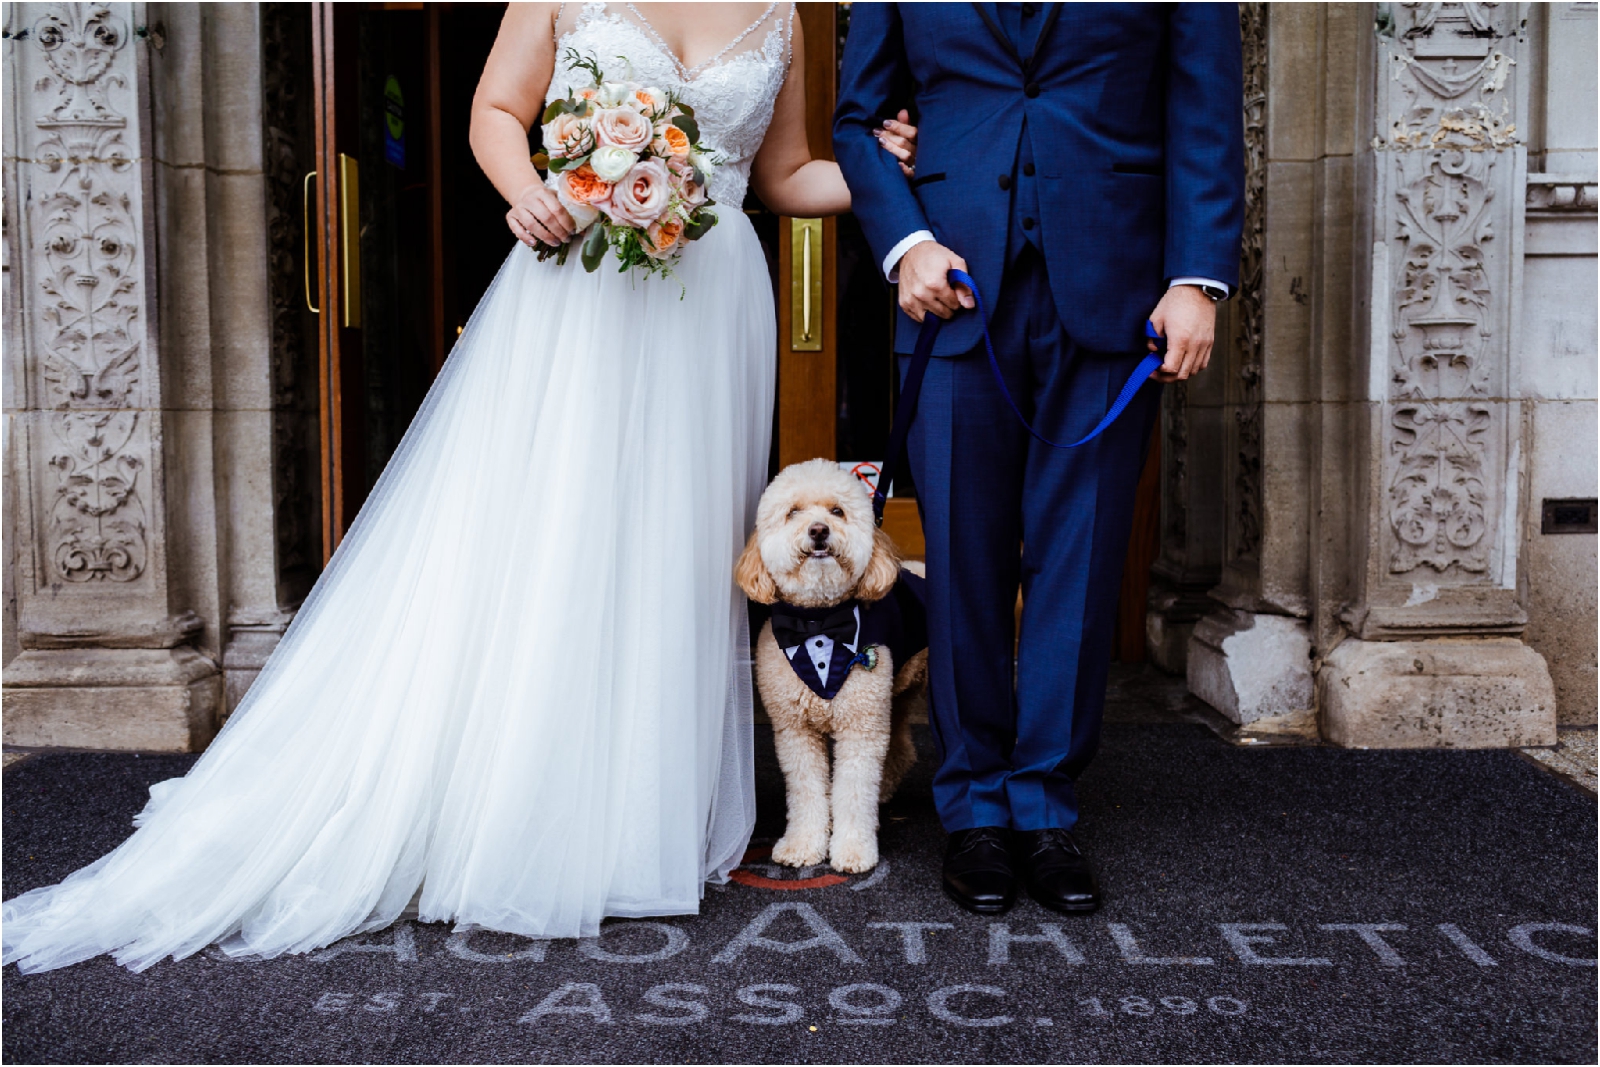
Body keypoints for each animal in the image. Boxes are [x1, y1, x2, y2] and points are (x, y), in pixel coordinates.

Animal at [732, 460, 928, 876]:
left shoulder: (860, 727)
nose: (819, 530)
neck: (818, 623)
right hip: (895, 692)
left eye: (837, 511)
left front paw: (853, 850)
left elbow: (852, 792)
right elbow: (807, 791)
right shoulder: (795, 730)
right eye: (793, 512)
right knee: (901, 744)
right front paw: (803, 845)